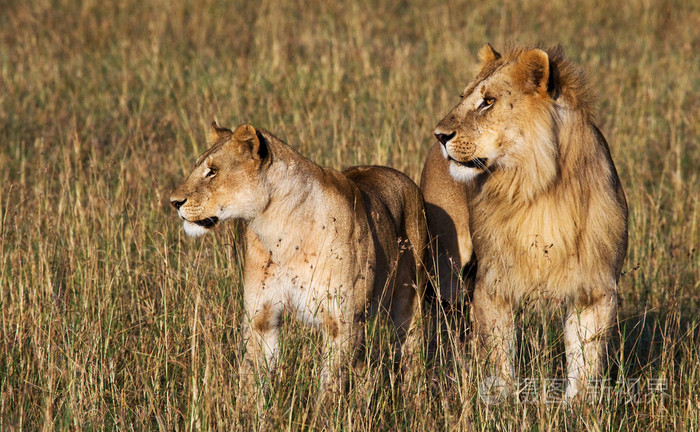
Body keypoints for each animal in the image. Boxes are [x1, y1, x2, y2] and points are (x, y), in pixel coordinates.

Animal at [172, 122, 430, 398]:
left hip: (409, 303)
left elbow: (329, 386)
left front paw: (324, 410)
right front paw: (247, 408)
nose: (174, 202)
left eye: (213, 171)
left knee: (411, 352)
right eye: (198, 166)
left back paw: (414, 398)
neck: (278, 228)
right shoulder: (261, 317)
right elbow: (253, 377)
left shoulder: (342, 322)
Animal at [422, 44, 628, 398]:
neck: (537, 187)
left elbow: (584, 360)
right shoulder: (493, 284)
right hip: (445, 272)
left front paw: (578, 406)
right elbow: (500, 353)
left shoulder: (595, 288)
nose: (439, 135)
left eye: (488, 101)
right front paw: (501, 399)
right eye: (463, 97)